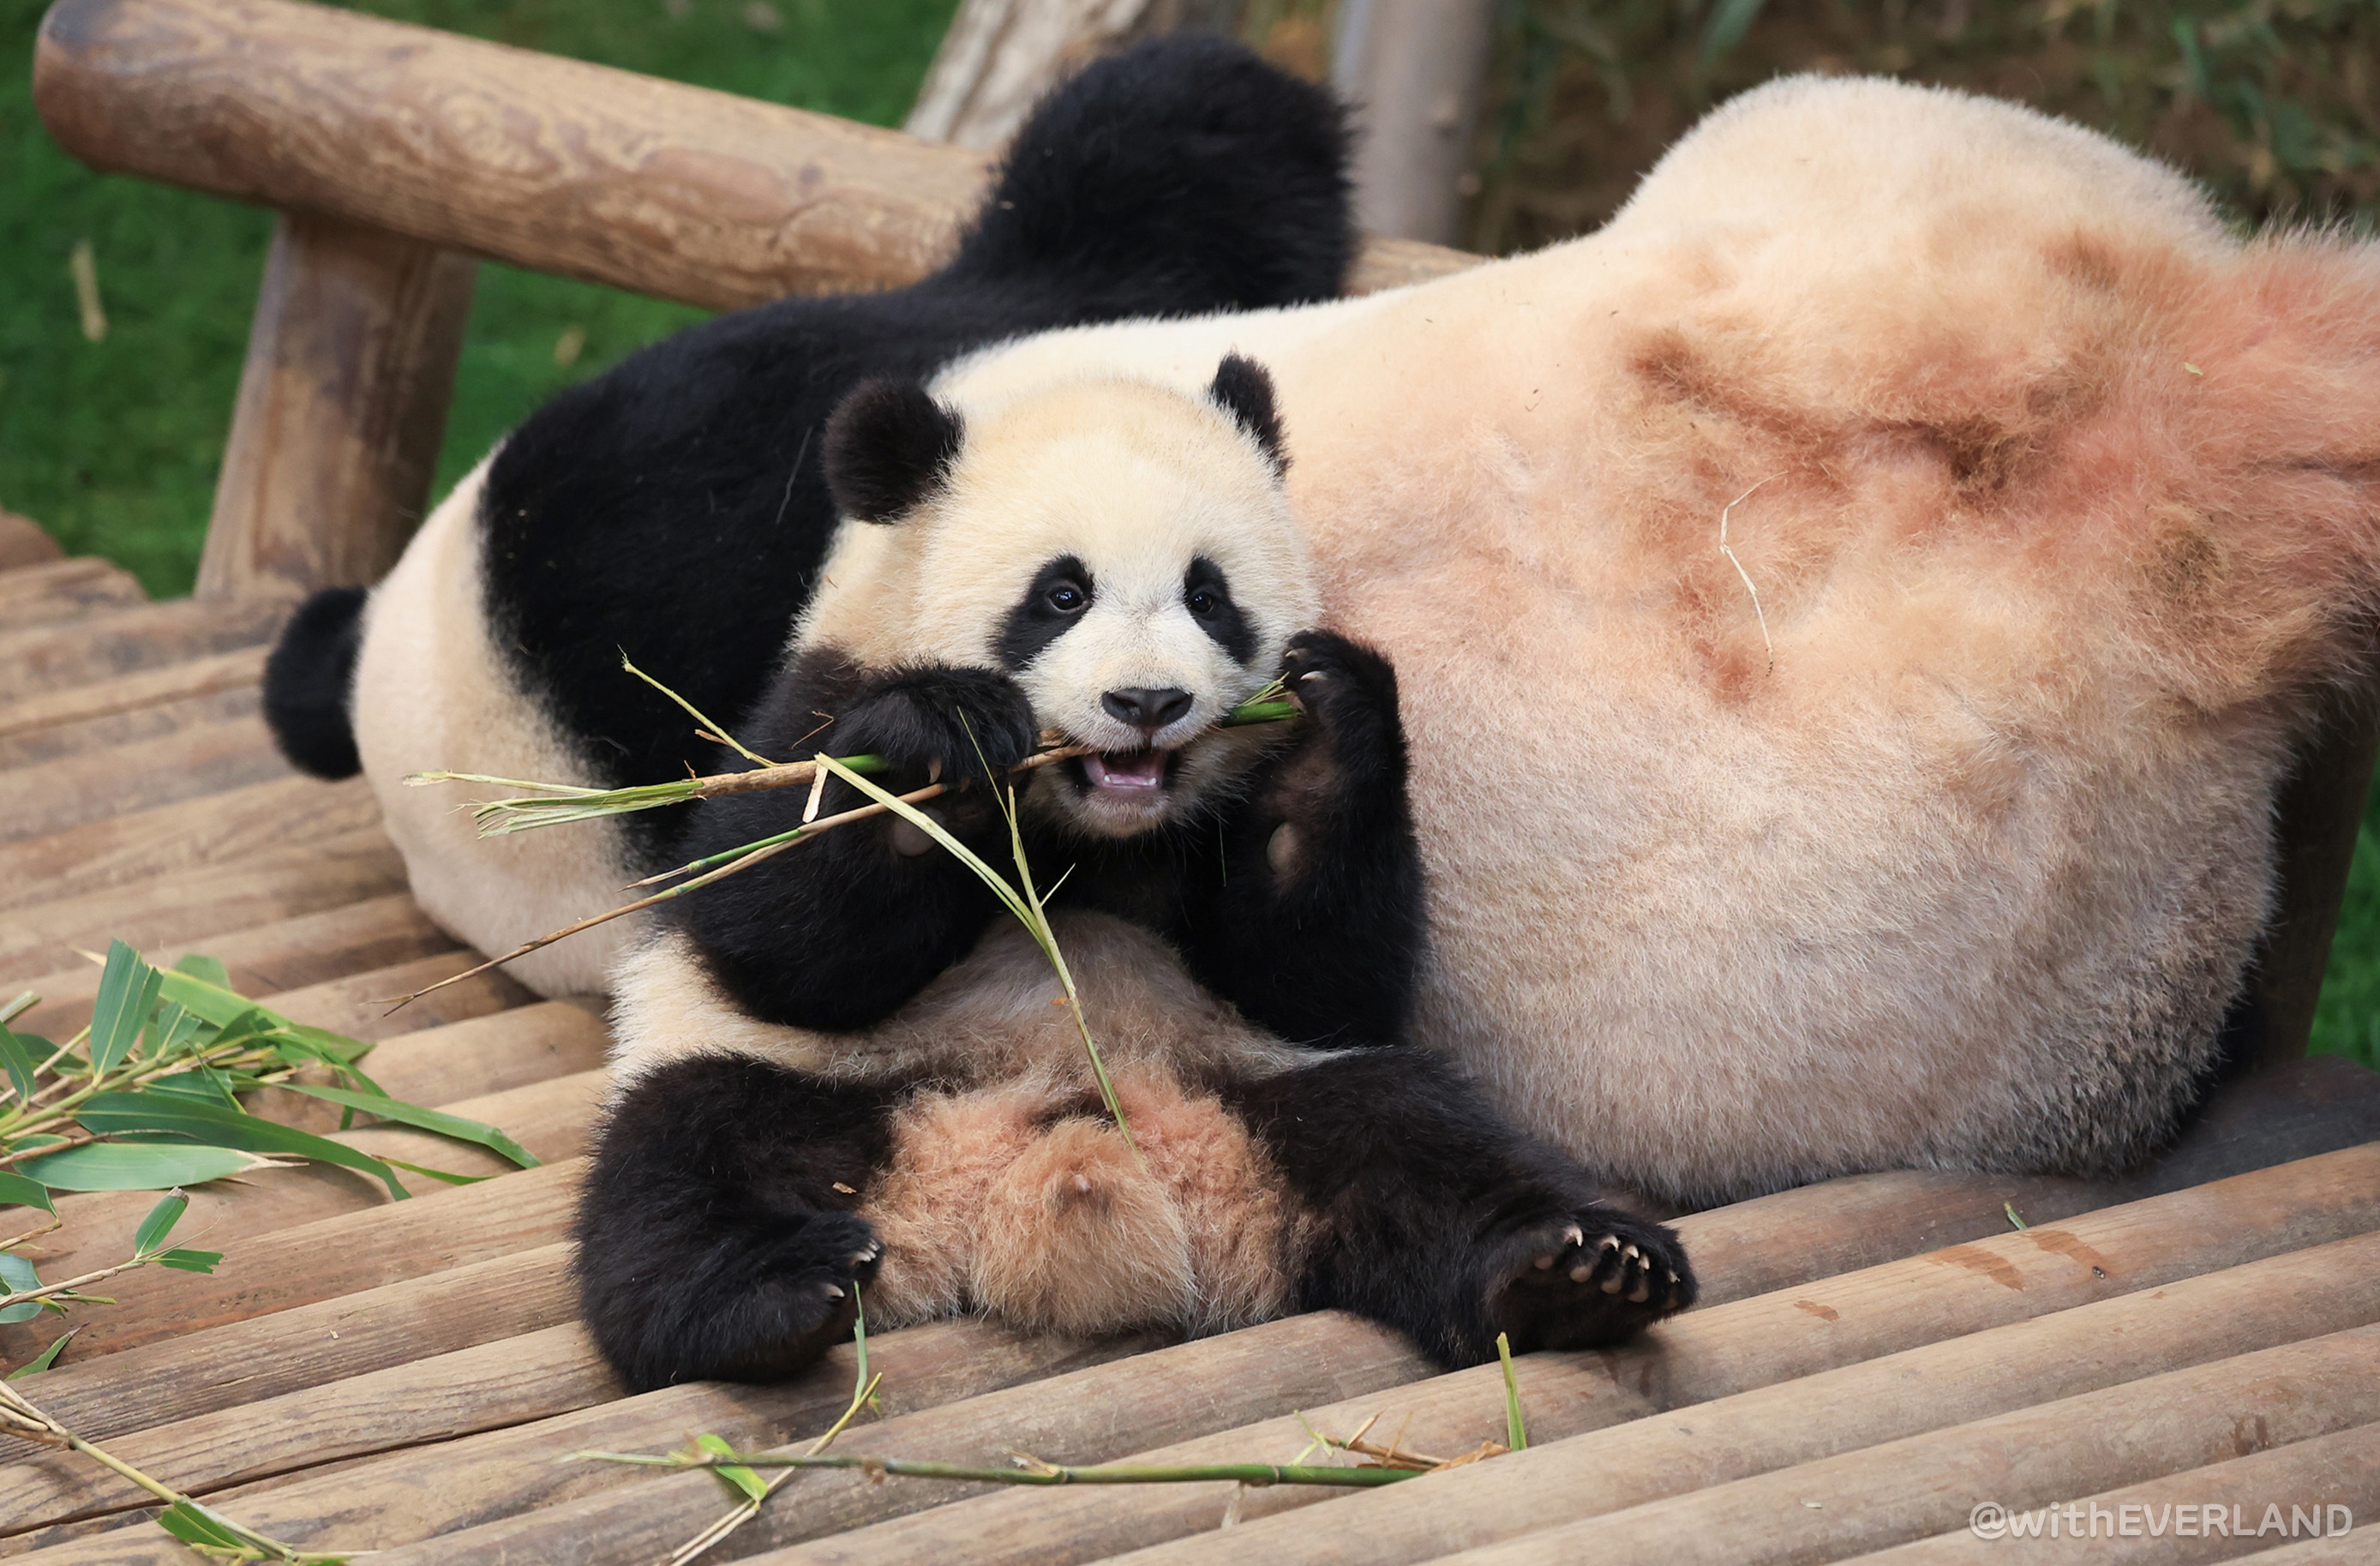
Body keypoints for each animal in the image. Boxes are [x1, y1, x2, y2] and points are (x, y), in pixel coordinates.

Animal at [576, 360, 1696, 1391]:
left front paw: (1329, 726)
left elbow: (1323, 980)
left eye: (1208, 597)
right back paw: (769, 1296)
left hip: (1267, 1082)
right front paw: (934, 750)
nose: (1147, 703)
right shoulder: (811, 702)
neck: (1094, 832)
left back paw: (1577, 1270)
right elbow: (777, 940)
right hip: (821, 1091)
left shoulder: (1263, 913)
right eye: (1061, 594)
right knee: (687, 1161)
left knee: (1420, 1139)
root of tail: (1043, 1169)